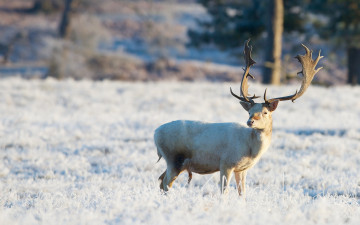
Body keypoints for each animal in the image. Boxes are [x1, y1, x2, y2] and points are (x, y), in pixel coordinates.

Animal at [153, 40, 322, 195]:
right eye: (249, 111)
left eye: (265, 112)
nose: (250, 121)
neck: (250, 149)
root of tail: (155, 134)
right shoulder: (226, 163)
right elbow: (224, 191)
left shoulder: (242, 169)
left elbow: (242, 193)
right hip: (174, 158)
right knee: (166, 182)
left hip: (176, 162)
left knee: (161, 180)